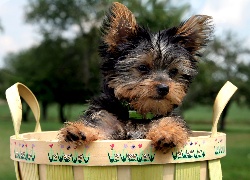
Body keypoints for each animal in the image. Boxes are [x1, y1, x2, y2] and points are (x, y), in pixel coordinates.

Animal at [58, 2, 213, 153]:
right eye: (143, 68)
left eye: (174, 71)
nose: (164, 88)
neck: (137, 113)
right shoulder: (107, 118)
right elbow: (97, 124)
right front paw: (80, 130)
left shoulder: (166, 117)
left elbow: (169, 121)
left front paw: (168, 133)